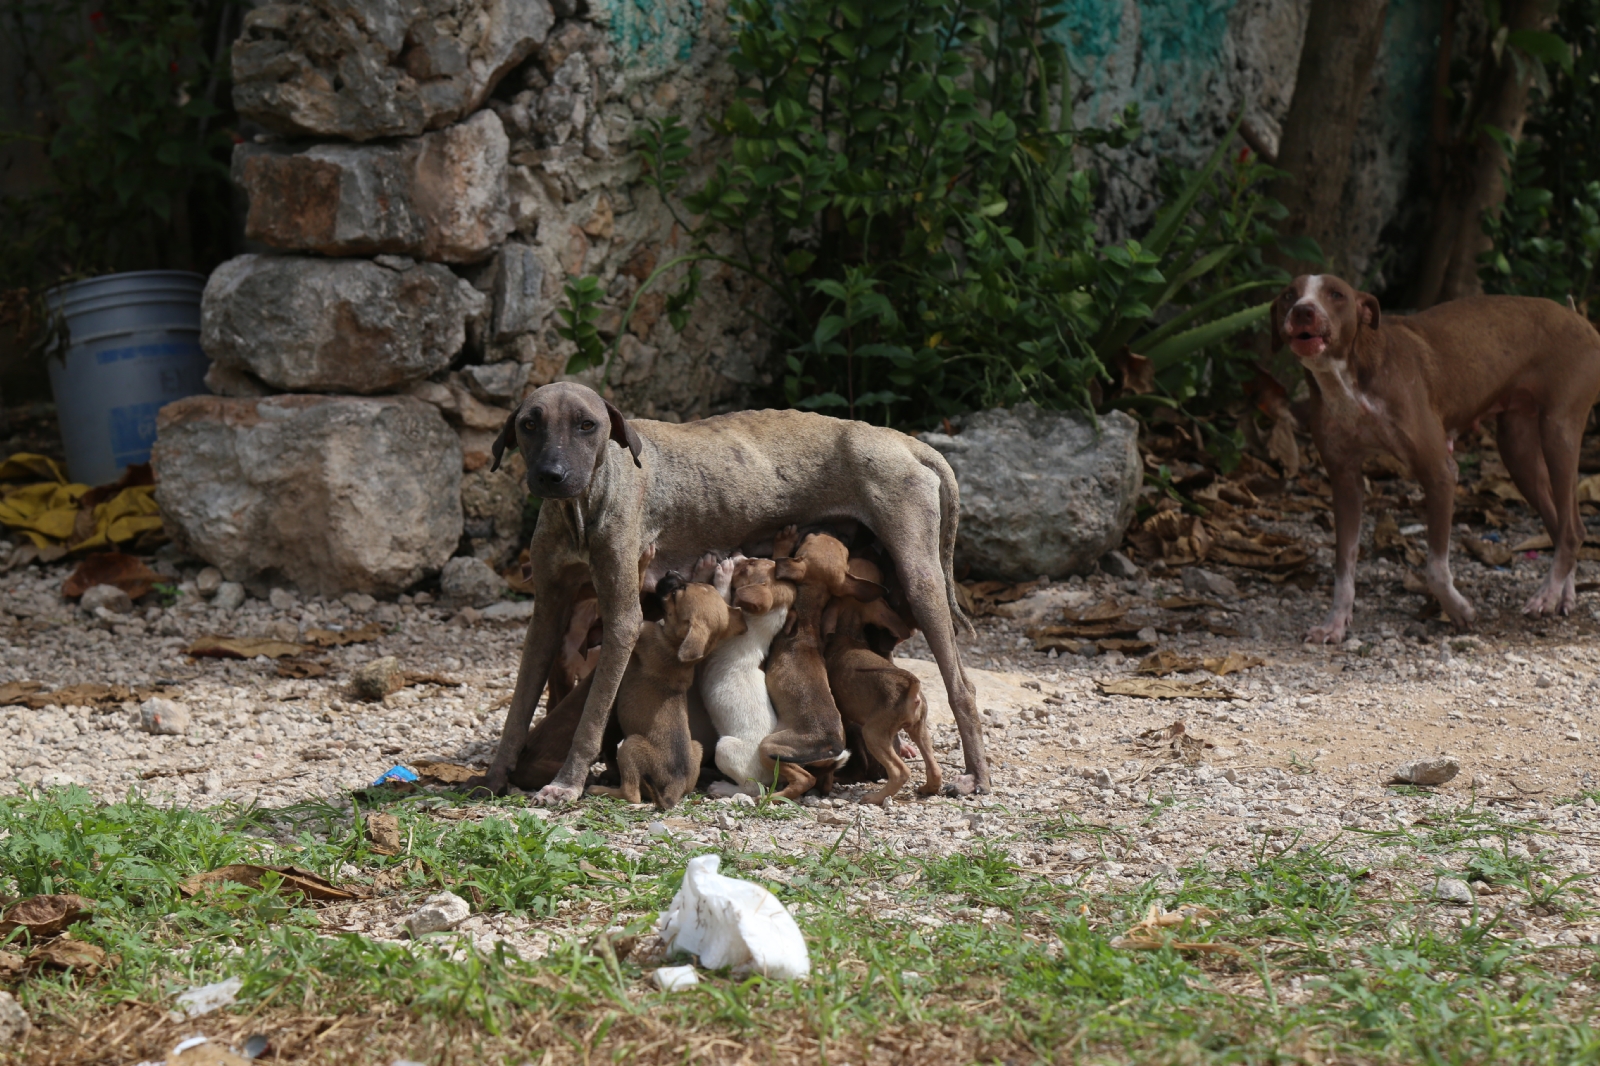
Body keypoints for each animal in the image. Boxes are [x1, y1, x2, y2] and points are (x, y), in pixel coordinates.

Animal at [588, 582, 742, 806]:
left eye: (676, 594)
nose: (671, 576)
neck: (676, 645)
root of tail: (675, 783)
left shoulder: (643, 630)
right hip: (696, 747)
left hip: (630, 746)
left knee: (631, 794)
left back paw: (600, 789)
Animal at [755, 531, 883, 797]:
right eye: (845, 552)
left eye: (807, 542)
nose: (822, 531)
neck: (808, 618)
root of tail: (832, 747)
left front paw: (783, 542)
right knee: (824, 782)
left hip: (770, 747)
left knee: (804, 779)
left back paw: (773, 797)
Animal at [1273, 273, 1600, 640]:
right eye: (1288, 296)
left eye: (1336, 294)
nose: (1303, 311)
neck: (1350, 379)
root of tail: (1579, 318)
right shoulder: (1344, 482)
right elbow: (1344, 565)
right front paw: (1335, 622)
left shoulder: (1440, 472)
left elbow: (1435, 568)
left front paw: (1459, 611)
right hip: (1518, 450)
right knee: (1560, 526)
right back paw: (1562, 595)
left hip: (1559, 430)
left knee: (1573, 529)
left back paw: (1546, 595)